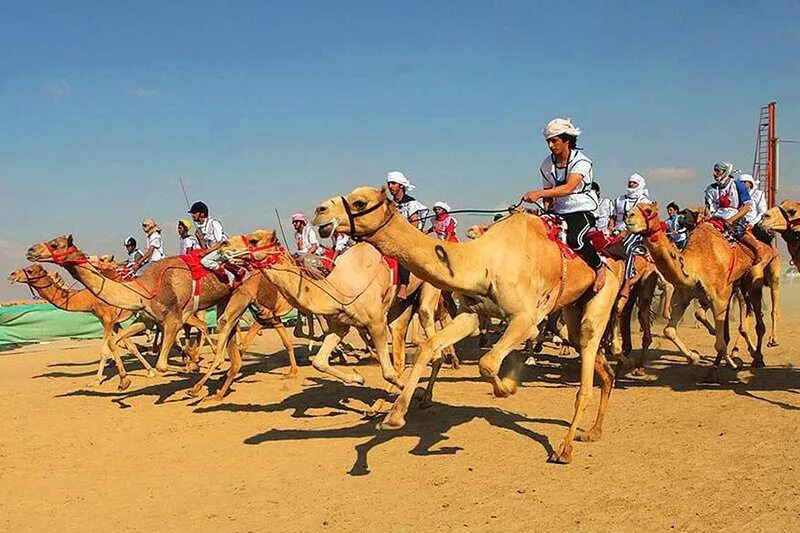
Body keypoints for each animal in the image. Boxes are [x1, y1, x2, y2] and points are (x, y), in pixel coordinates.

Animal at [7, 262, 155, 384]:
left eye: (30, 270)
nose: (12, 275)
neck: (88, 298)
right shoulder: (111, 321)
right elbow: (130, 346)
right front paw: (150, 371)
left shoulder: (108, 319)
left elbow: (105, 351)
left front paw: (96, 380)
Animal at [26, 235, 230, 376]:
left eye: (55, 244)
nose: (30, 250)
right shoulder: (145, 319)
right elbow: (119, 343)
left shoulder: (171, 319)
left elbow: (159, 363)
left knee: (205, 326)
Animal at [189, 270, 298, 400]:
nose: (222, 320)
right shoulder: (272, 316)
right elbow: (287, 341)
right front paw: (292, 372)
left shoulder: (264, 316)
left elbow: (244, 344)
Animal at [312, 187, 624, 462]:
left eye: (360, 202)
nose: (319, 211)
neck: (484, 262)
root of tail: (613, 260)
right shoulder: (471, 315)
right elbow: (430, 345)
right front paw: (394, 416)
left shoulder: (526, 319)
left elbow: (487, 362)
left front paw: (508, 386)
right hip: (573, 308)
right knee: (597, 361)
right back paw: (593, 431)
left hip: (600, 300)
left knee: (585, 371)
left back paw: (564, 449)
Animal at [624, 203, 776, 374]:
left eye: (648, 210)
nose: (628, 216)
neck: (695, 265)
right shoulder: (683, 297)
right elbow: (669, 330)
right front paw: (694, 357)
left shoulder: (719, 299)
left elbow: (720, 343)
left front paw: (732, 364)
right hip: (737, 286)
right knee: (743, 309)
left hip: (754, 278)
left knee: (757, 318)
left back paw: (758, 357)